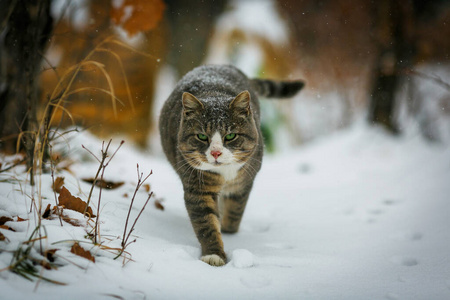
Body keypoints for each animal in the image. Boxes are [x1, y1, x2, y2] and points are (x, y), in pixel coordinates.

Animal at [158, 64, 302, 266]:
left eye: (231, 136)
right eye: (201, 136)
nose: (215, 153)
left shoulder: (244, 180)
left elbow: (235, 209)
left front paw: (228, 232)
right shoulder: (197, 185)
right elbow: (206, 223)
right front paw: (214, 254)